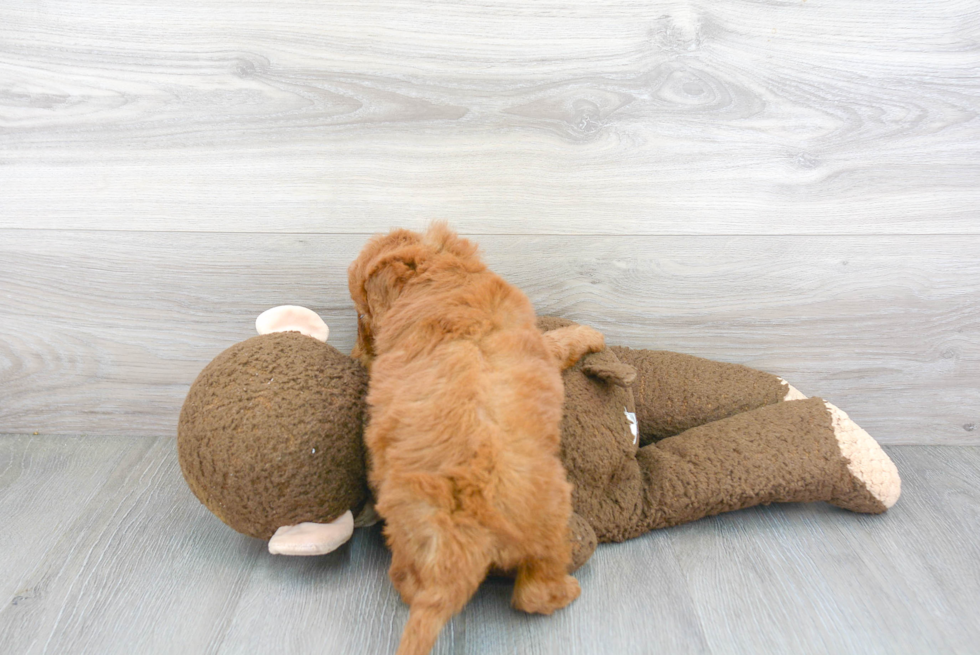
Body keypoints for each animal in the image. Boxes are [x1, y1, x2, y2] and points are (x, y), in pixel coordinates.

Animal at [348, 224, 600, 655]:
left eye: (362, 313)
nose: (356, 354)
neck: (441, 276)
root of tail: (459, 541)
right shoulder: (540, 345)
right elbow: (561, 341)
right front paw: (593, 335)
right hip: (552, 518)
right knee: (533, 593)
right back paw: (567, 590)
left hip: (406, 535)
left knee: (406, 582)